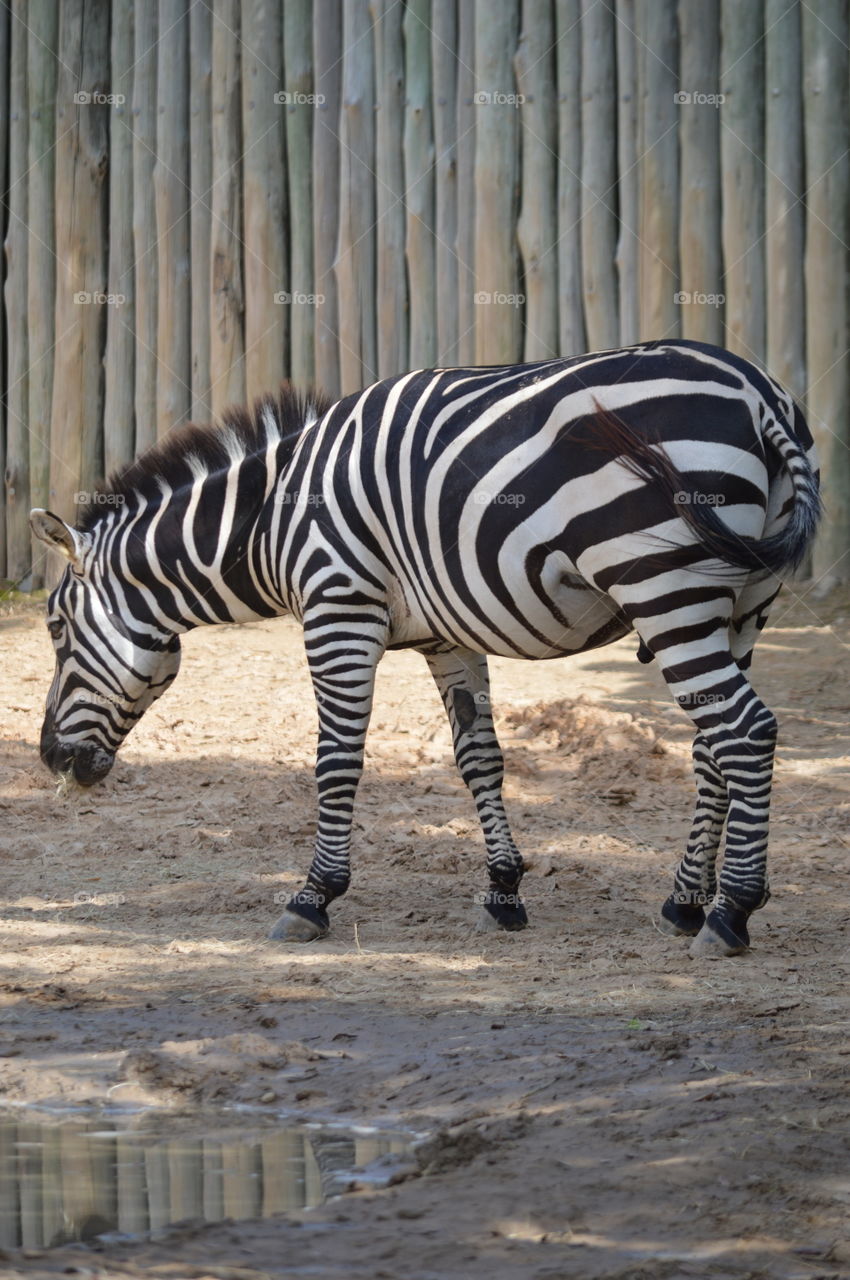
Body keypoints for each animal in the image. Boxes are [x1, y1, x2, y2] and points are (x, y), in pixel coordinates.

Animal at [30, 341, 820, 958]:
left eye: (55, 628)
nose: (48, 759)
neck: (267, 519)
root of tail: (760, 394)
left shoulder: (338, 609)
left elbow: (336, 760)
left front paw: (312, 897)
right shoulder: (447, 638)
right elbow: (480, 758)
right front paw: (504, 891)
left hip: (663, 586)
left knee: (746, 731)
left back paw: (731, 912)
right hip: (744, 604)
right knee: (712, 746)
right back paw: (684, 902)